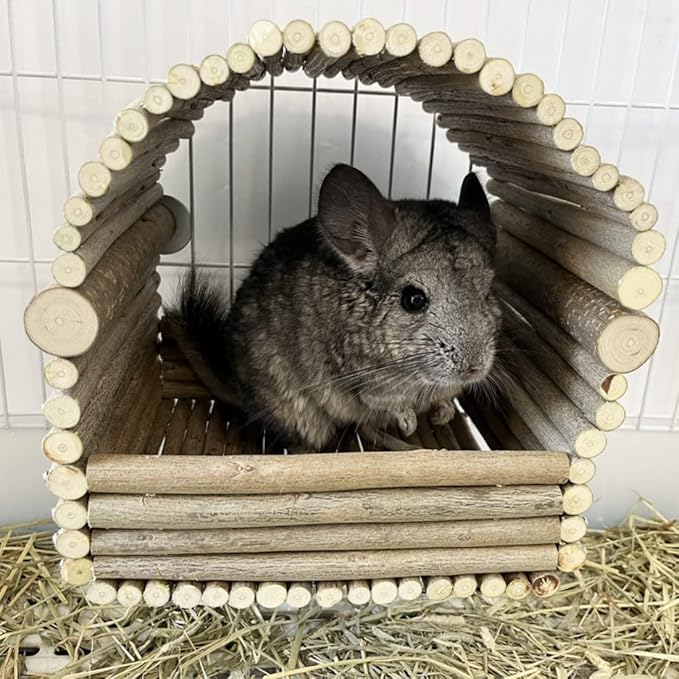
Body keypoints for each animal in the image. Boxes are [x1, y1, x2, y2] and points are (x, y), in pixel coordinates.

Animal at [164, 164, 501, 451]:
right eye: (413, 299)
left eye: (488, 291)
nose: (473, 368)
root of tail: (243, 397)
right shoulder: (358, 378)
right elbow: (384, 403)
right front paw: (408, 421)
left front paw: (443, 413)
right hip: (300, 416)